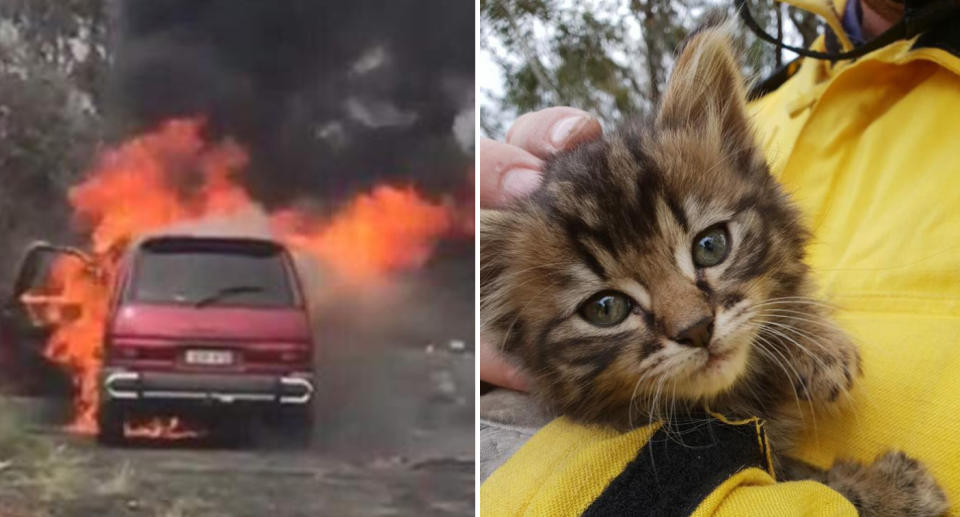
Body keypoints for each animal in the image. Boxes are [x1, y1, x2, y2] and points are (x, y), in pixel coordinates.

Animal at [480, 21, 944, 516]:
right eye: (605, 309)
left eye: (710, 246)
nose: (697, 329)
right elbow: (811, 482)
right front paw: (892, 487)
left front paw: (814, 343)